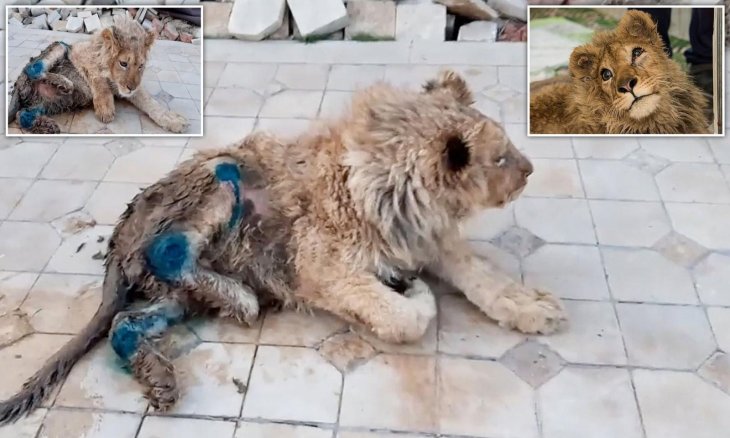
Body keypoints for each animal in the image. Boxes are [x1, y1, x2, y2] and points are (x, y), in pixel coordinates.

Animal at [0, 70, 567, 423]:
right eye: (500, 159)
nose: (531, 170)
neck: (395, 191)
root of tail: (122, 237)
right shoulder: (321, 267)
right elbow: (406, 319)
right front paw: (413, 293)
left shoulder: (427, 237)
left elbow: (483, 277)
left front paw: (531, 306)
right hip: (219, 179)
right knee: (170, 251)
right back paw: (243, 298)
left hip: (170, 298)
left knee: (123, 323)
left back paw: (161, 373)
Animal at [8, 15, 189, 134]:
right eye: (123, 63)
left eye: (141, 66)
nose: (131, 88)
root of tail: (18, 84)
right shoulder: (79, 54)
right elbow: (97, 77)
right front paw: (105, 109)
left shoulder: (129, 88)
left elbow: (151, 103)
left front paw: (172, 120)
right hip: (60, 46)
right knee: (33, 69)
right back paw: (64, 84)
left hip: (47, 104)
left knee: (21, 115)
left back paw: (48, 126)